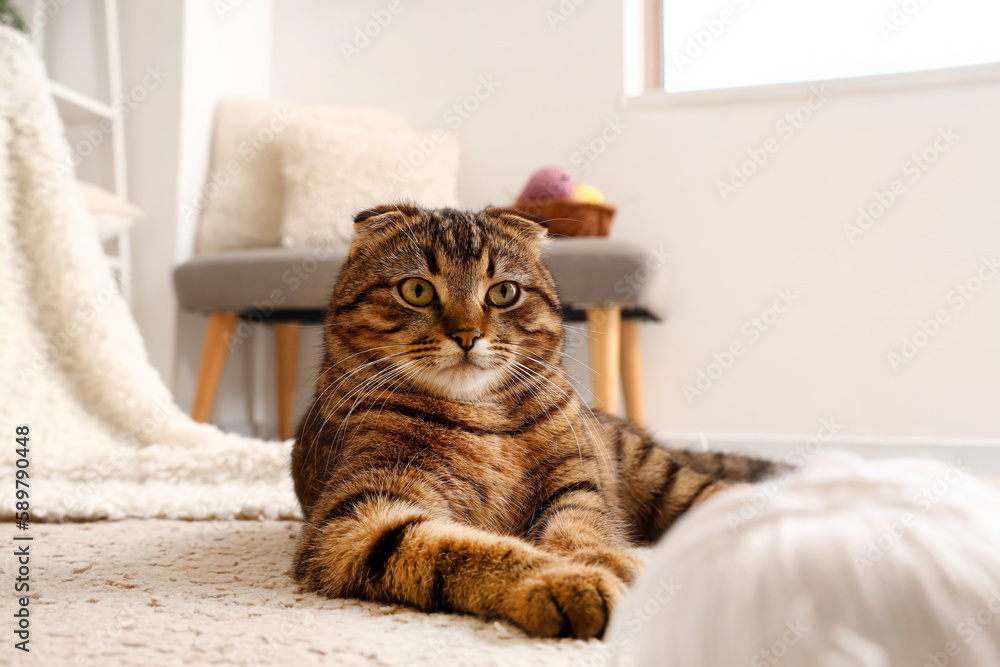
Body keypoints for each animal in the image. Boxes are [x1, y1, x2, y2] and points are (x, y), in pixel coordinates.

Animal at [292, 205, 784, 640]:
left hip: (660, 476)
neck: (479, 414)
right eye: (417, 290)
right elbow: (470, 550)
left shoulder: (574, 484)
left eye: (503, 293)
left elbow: (580, 529)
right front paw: (567, 580)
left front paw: (606, 559)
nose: (468, 335)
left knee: (726, 495)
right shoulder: (356, 518)